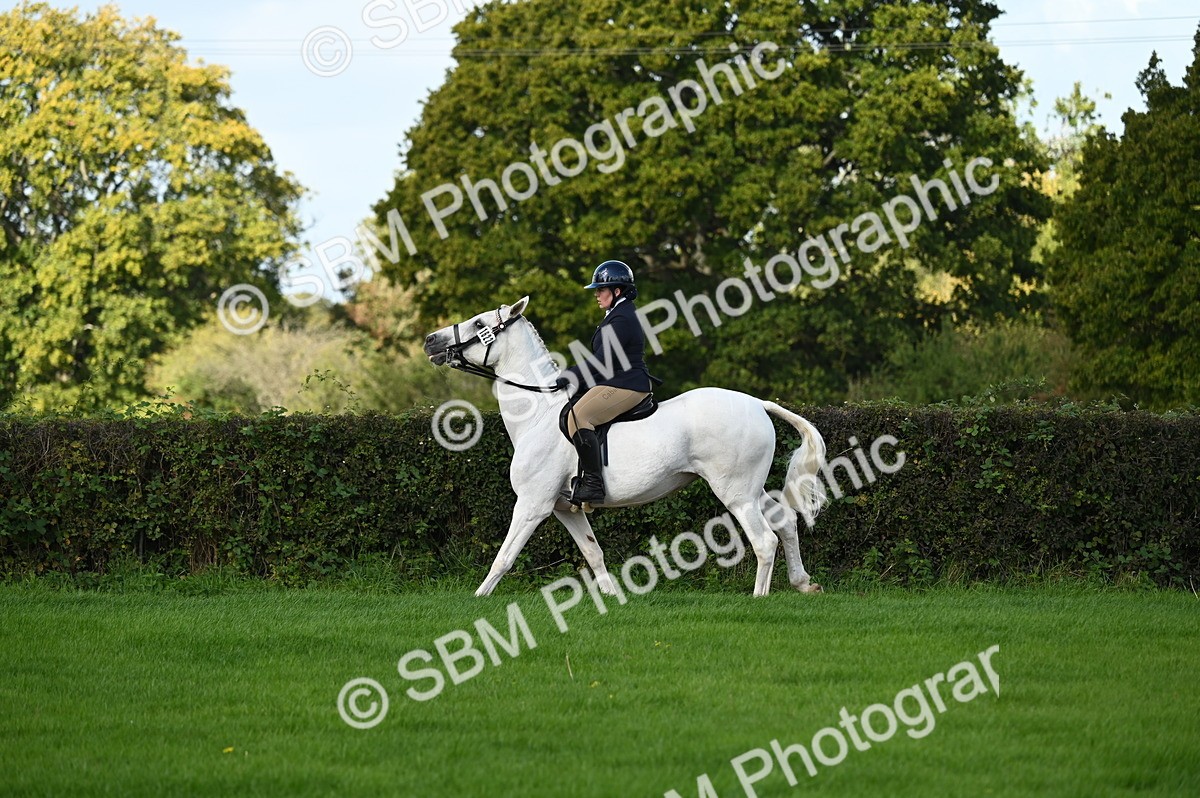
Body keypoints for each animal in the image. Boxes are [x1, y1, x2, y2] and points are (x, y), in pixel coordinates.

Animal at [423, 296, 828, 597]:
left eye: (479, 323)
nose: (430, 340)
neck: (538, 414)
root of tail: (757, 403)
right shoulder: (564, 508)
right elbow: (593, 552)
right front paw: (611, 596)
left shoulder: (532, 504)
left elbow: (504, 557)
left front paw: (479, 599)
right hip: (750, 488)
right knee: (785, 521)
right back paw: (803, 583)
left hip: (735, 492)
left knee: (764, 540)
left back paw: (760, 598)